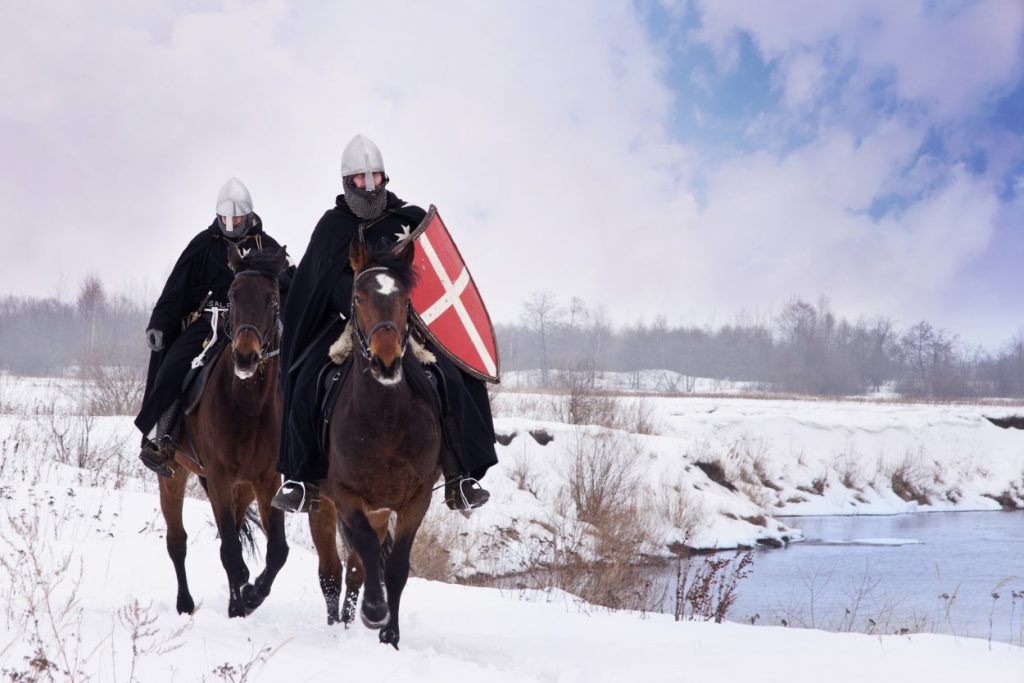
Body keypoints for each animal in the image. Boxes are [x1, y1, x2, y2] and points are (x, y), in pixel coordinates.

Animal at [157, 242, 290, 618]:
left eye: (273, 300)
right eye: (233, 294)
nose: (246, 357)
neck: (250, 406)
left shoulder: (267, 480)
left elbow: (277, 551)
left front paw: (253, 594)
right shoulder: (218, 476)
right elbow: (230, 551)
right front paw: (240, 605)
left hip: (241, 489)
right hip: (174, 475)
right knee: (177, 541)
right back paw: (185, 603)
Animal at [309, 237, 442, 651]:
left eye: (405, 299)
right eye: (358, 296)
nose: (386, 362)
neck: (384, 422)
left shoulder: (416, 499)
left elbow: (395, 566)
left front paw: (390, 634)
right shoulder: (347, 495)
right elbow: (366, 548)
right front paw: (373, 611)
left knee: (353, 569)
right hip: (323, 505)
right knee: (332, 571)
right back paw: (336, 625)